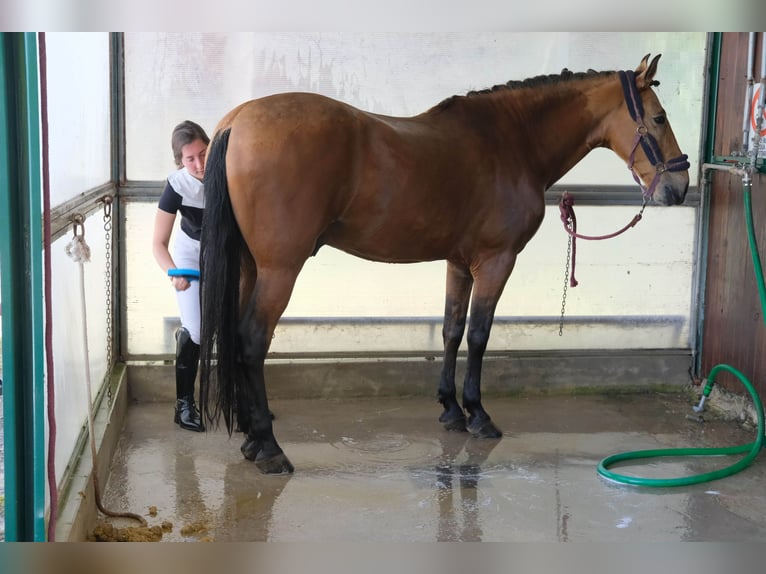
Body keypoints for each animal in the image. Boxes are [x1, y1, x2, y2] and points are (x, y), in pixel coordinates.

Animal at [199, 53, 690, 474]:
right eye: (659, 118)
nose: (681, 187)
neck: (512, 141)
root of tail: (237, 123)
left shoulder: (458, 262)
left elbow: (451, 329)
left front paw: (451, 409)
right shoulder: (496, 261)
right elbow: (479, 334)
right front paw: (478, 414)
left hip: (249, 267)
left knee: (236, 337)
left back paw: (250, 439)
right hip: (279, 270)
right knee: (252, 340)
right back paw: (269, 447)